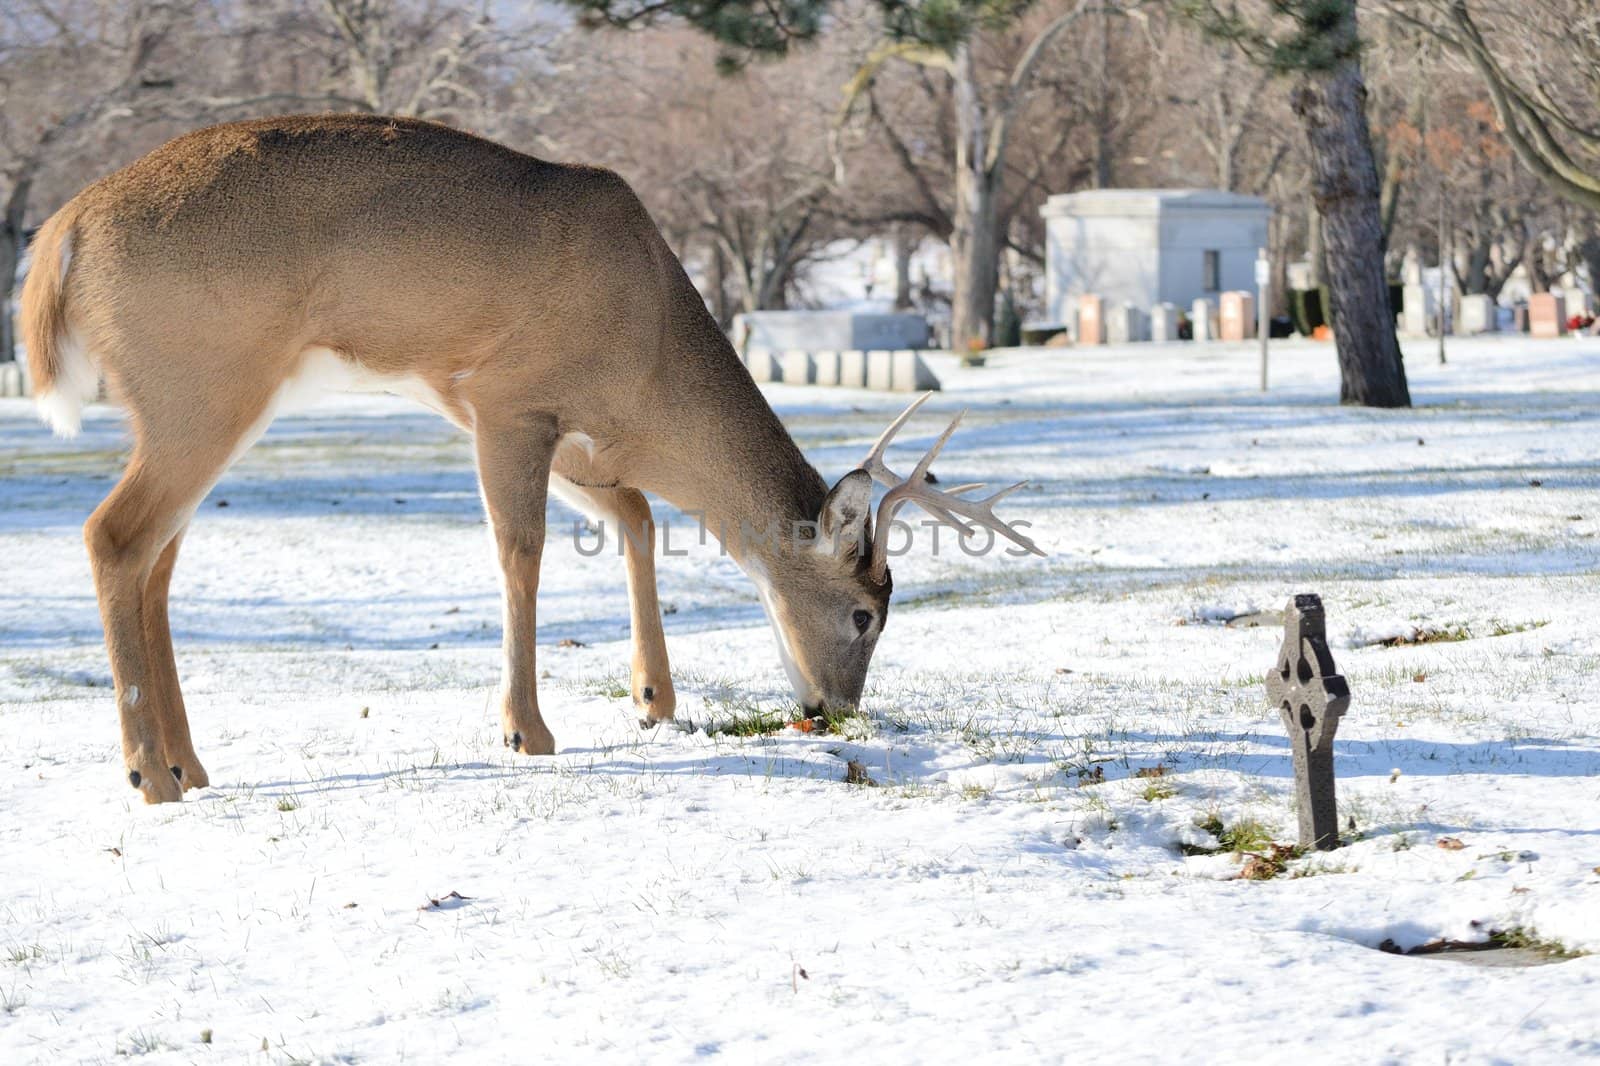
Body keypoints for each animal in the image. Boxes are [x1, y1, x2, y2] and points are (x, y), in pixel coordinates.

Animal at [21, 114, 1036, 797]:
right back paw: (148, 774)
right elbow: (523, 550)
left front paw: (653, 697)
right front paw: (527, 731)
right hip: (202, 387)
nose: (836, 706)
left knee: (157, 559)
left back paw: (190, 764)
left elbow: (636, 516)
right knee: (114, 536)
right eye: (866, 613)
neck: (648, 357)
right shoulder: (508, 399)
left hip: (195, 407)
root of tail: (59, 234)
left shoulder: (571, 434)